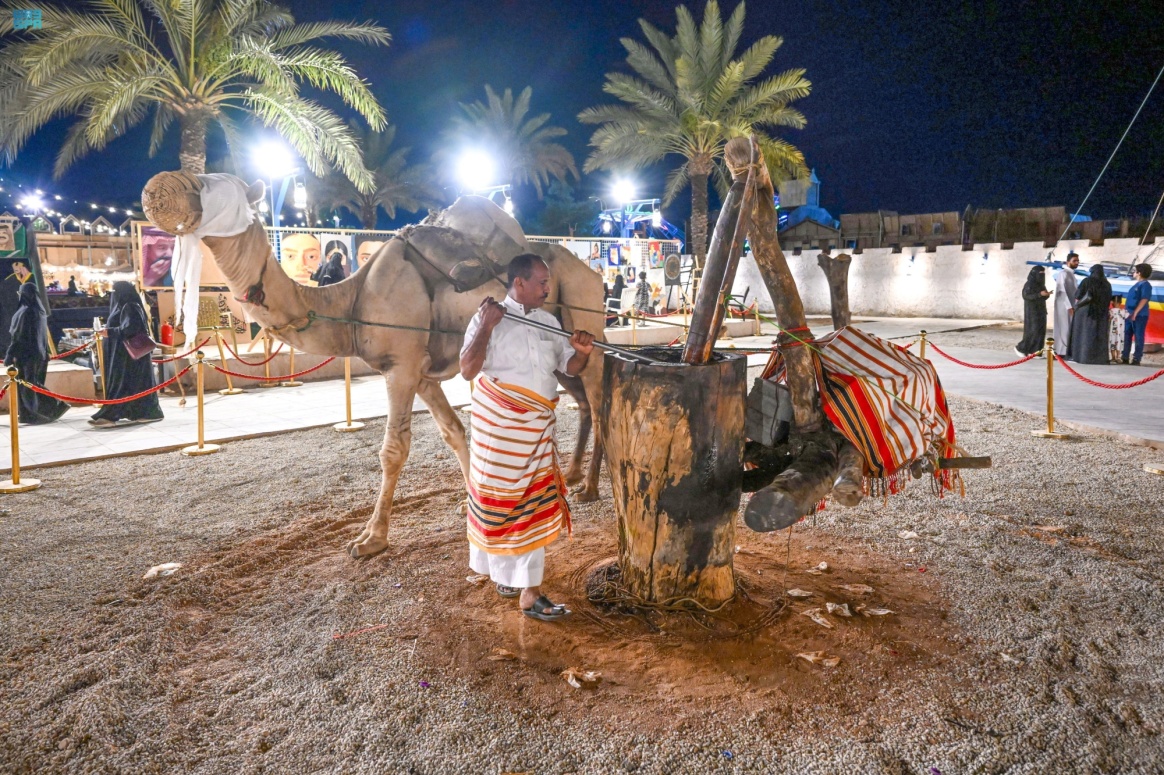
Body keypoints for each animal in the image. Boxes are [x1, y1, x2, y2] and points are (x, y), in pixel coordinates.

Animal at [140, 168, 605, 556]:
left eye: (211, 186)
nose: (159, 190)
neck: (350, 301)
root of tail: (592, 272)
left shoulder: (400, 366)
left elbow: (393, 450)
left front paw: (371, 538)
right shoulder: (421, 373)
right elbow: (454, 433)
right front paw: (471, 505)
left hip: (588, 328)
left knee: (600, 402)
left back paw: (590, 488)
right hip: (560, 351)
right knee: (582, 401)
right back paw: (574, 476)